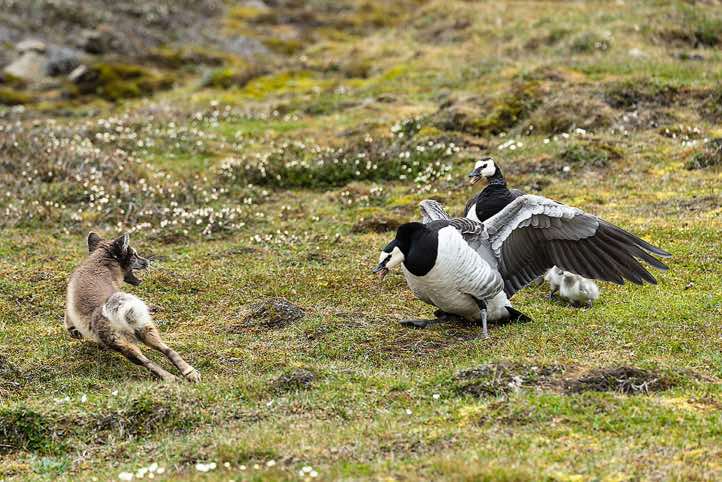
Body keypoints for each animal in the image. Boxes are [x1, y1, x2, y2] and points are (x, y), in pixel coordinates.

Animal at [64, 232, 200, 383]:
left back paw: (171, 378)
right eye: (134, 254)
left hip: (120, 343)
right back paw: (189, 372)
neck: (100, 262)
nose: (148, 261)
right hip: (145, 328)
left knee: (145, 361)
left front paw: (74, 331)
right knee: (166, 349)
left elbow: (67, 317)